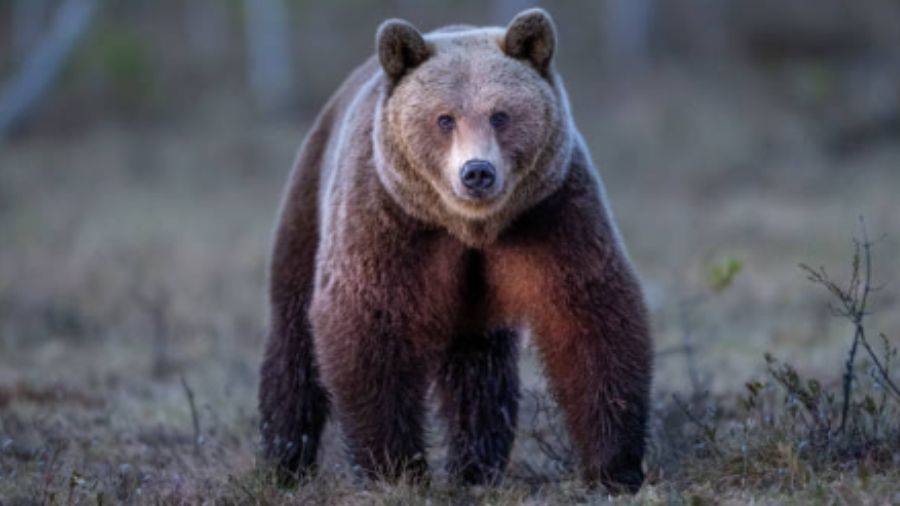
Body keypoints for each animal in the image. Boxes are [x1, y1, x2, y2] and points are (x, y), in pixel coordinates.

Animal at [258, 8, 652, 494]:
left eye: (500, 115)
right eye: (444, 119)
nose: (477, 172)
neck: (469, 227)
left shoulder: (551, 213)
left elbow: (589, 315)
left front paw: (614, 467)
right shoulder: (388, 221)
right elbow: (368, 323)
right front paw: (393, 469)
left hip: (477, 301)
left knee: (479, 369)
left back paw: (476, 468)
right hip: (308, 203)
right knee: (292, 337)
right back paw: (283, 461)